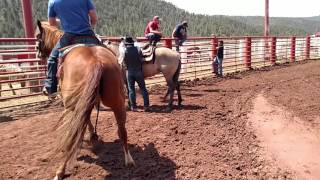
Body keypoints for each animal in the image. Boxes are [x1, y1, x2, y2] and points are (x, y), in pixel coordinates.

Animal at [35, 21, 135, 180]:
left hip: (73, 106)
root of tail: (96, 61)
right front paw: (93, 135)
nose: (38, 54)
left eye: (38, 36)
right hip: (117, 101)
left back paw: (60, 171)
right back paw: (129, 160)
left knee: (72, 136)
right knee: (122, 131)